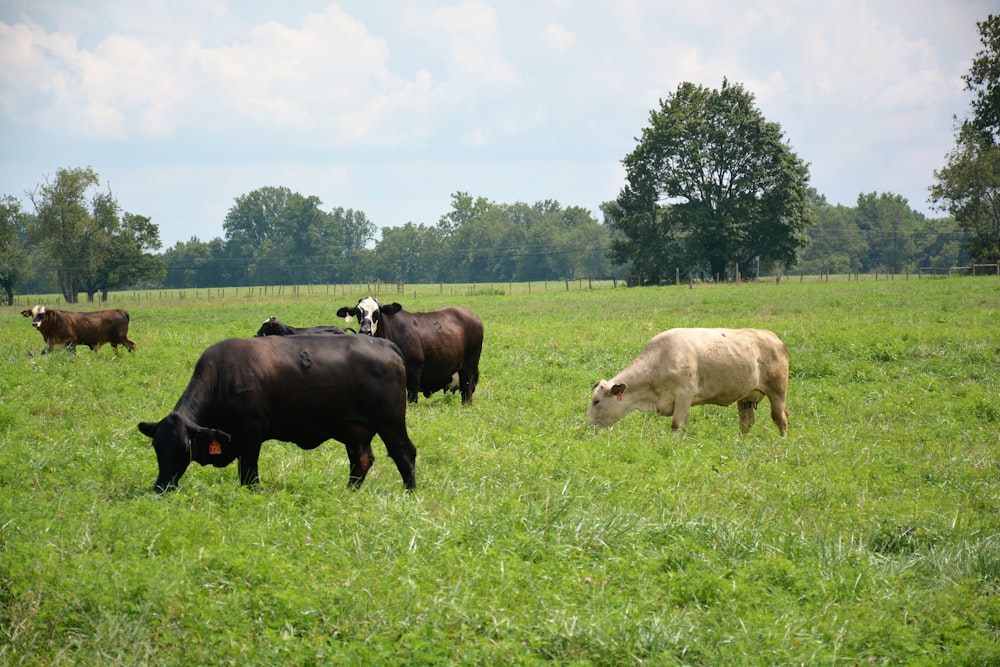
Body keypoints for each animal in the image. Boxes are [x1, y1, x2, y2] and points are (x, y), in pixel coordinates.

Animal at [135, 336, 416, 494]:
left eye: (184, 448)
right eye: (157, 448)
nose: (161, 487)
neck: (221, 378)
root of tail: (384, 343)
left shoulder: (251, 433)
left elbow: (248, 472)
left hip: (390, 422)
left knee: (404, 453)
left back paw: (410, 492)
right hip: (356, 430)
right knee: (361, 460)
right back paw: (349, 492)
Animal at [336, 296, 484, 402]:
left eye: (377, 312)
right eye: (357, 312)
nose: (365, 331)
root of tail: (471, 314)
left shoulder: (414, 370)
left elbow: (412, 398)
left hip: (469, 367)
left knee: (467, 392)